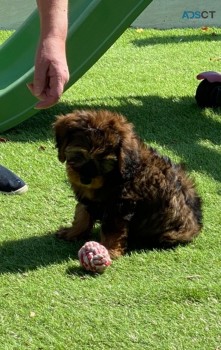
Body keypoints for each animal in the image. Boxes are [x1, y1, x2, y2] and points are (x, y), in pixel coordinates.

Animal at [53, 110, 202, 258]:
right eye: (79, 154)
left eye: (104, 161)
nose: (85, 179)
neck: (114, 175)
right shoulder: (90, 199)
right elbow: (82, 213)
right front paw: (72, 232)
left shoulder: (120, 205)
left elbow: (112, 229)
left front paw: (109, 250)